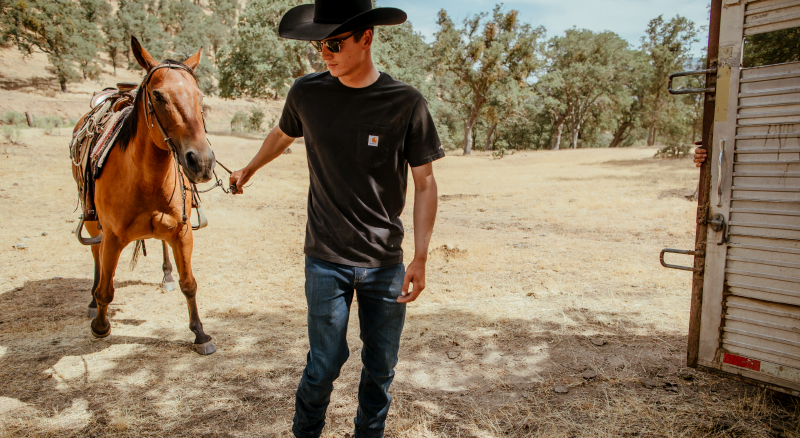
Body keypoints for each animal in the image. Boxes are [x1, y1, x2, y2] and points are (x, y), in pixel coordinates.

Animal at [70, 36, 216, 354]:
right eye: (158, 96)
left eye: (199, 96)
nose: (201, 162)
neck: (145, 179)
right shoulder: (112, 236)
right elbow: (106, 289)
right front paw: (101, 325)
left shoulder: (182, 231)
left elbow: (189, 283)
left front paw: (200, 334)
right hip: (92, 220)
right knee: (95, 256)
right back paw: (91, 303)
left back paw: (166, 275)